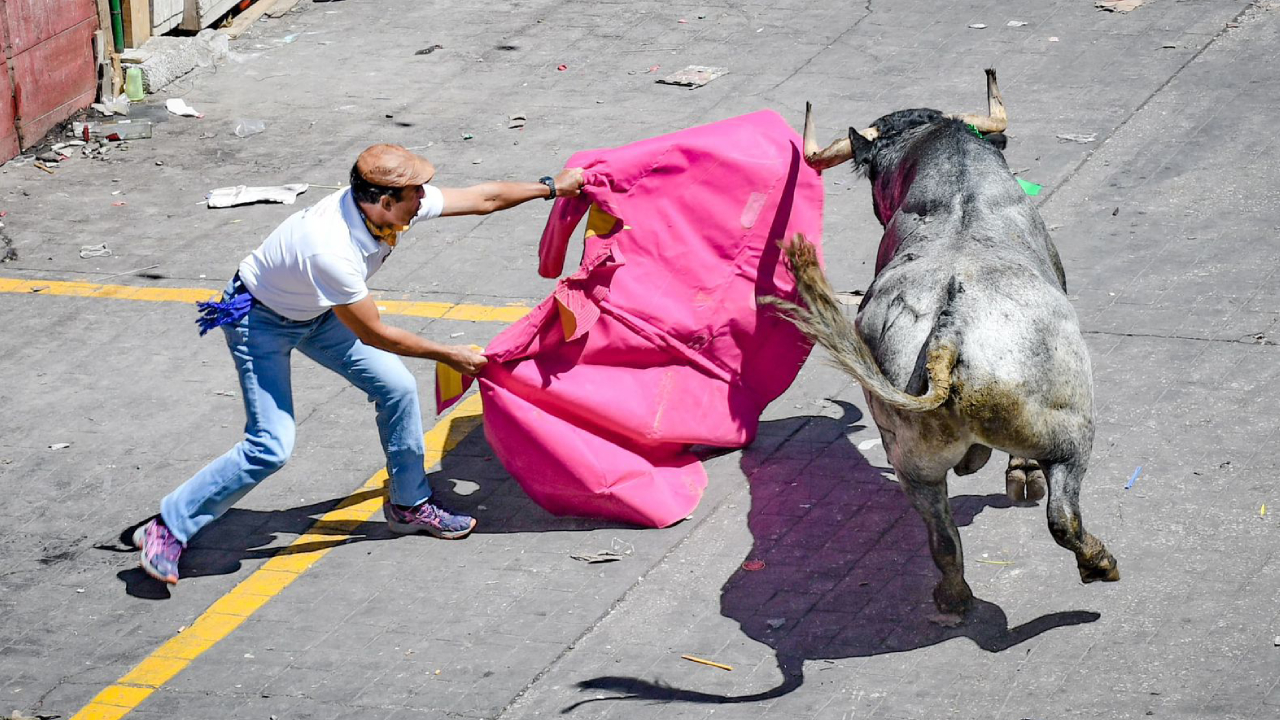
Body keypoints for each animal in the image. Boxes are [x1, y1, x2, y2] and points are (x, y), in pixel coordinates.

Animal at [768, 68, 1121, 617]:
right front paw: (1020, 474)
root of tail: (946, 336)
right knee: (1062, 514)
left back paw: (953, 596)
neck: (954, 182)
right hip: (1070, 431)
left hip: (912, 462)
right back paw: (1098, 562)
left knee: (942, 535)